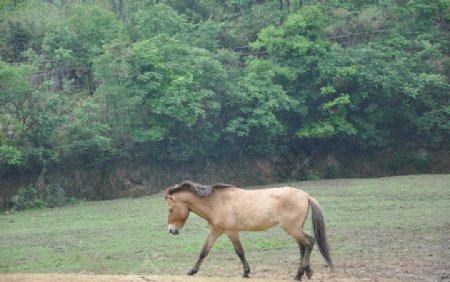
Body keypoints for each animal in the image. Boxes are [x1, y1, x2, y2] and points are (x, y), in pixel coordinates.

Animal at [163, 181, 332, 280]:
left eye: (170, 210)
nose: (171, 230)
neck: (216, 202)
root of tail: (305, 195)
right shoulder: (215, 231)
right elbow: (204, 251)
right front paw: (192, 271)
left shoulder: (231, 231)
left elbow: (240, 252)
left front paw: (246, 272)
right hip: (295, 229)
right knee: (303, 246)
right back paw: (299, 274)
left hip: (292, 228)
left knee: (309, 242)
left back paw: (306, 271)